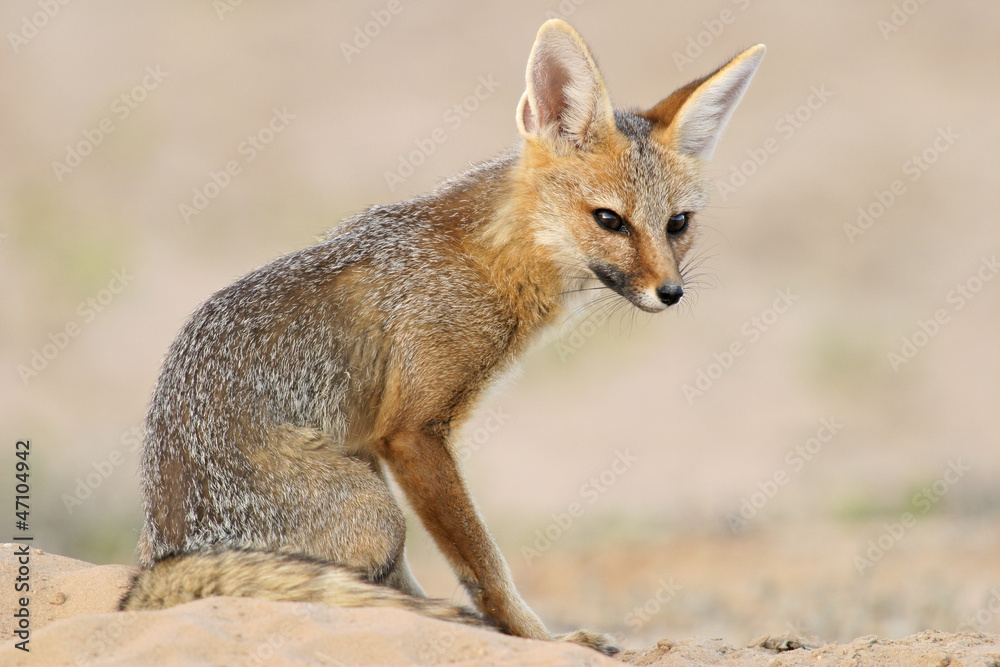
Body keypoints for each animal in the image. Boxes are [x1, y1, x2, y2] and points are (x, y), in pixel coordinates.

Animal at [127, 18, 764, 656]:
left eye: (677, 224)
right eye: (609, 220)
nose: (670, 292)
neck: (492, 257)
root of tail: (162, 554)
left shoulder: (377, 439)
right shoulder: (413, 434)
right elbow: (485, 566)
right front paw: (541, 640)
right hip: (377, 512)